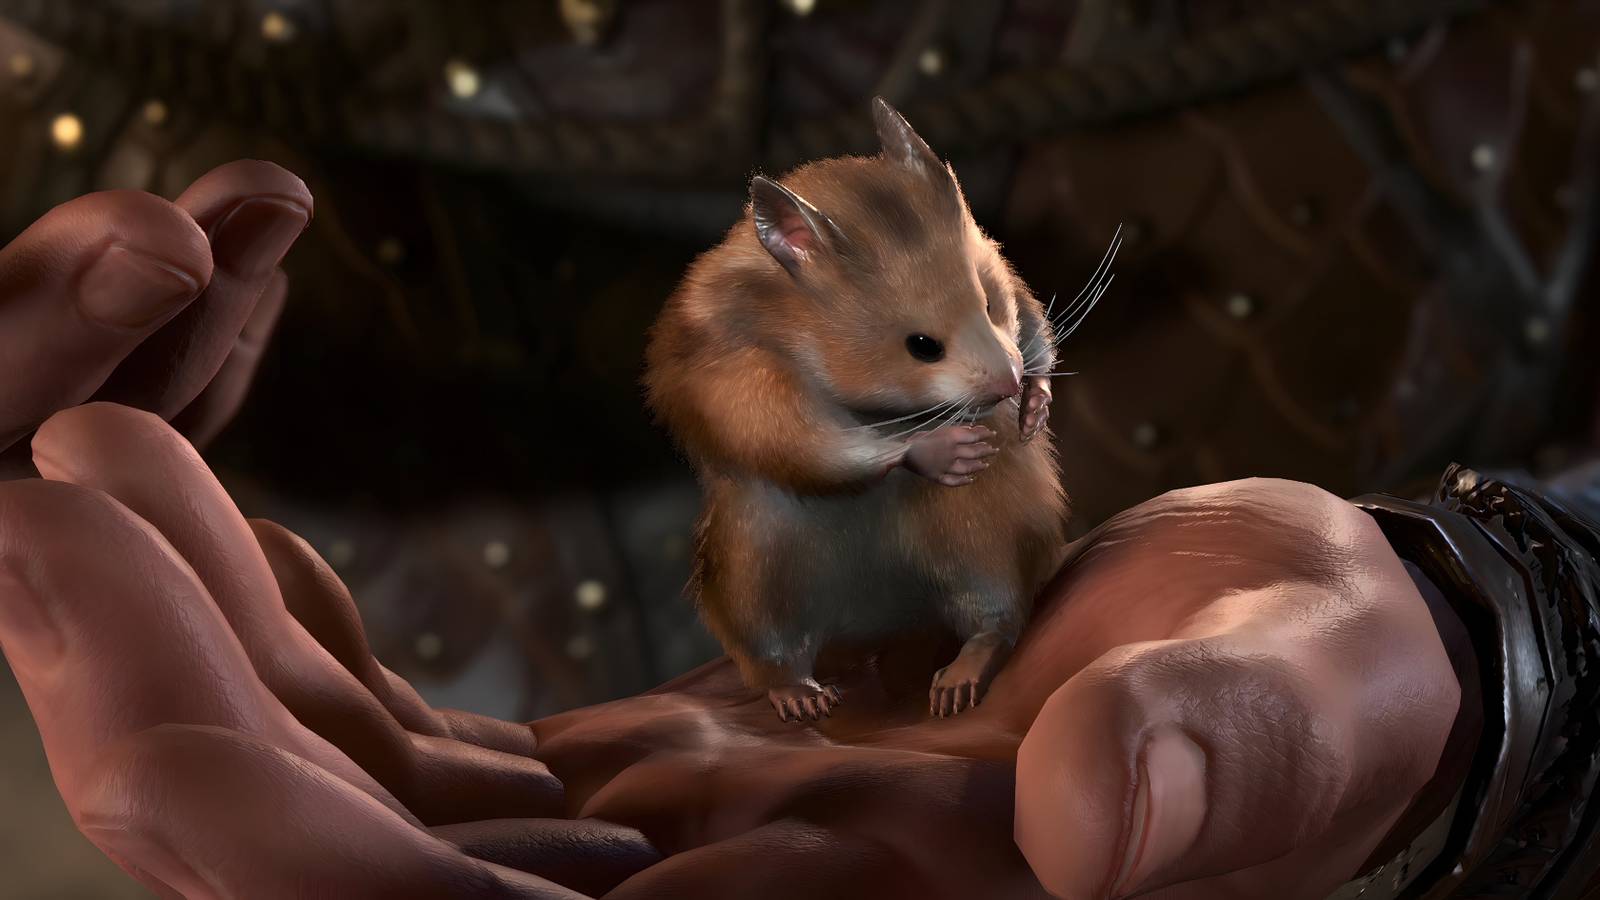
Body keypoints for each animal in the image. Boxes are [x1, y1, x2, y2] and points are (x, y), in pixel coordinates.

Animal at [644, 98, 1070, 722]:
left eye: (990, 304)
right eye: (922, 346)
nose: (1008, 386)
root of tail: (877, 635)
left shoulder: (1010, 282)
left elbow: (1034, 328)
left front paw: (1033, 412)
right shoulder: (742, 381)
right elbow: (818, 440)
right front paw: (951, 447)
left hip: (983, 537)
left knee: (994, 621)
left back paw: (952, 689)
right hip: (755, 573)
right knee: (775, 656)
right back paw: (805, 701)